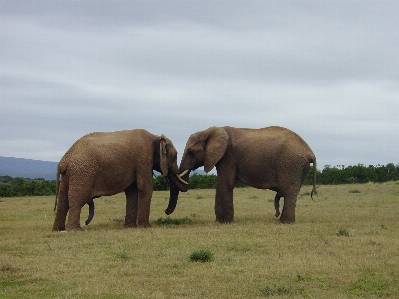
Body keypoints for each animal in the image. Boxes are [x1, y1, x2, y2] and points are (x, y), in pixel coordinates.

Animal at [52, 129, 188, 232]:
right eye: (175, 156)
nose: (166, 211)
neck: (155, 137)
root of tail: (63, 161)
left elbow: (132, 192)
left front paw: (130, 227)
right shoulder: (143, 159)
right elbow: (145, 188)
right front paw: (145, 227)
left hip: (69, 175)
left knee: (63, 201)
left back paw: (58, 230)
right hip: (83, 172)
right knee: (78, 199)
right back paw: (76, 230)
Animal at [166, 125, 318, 224]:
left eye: (191, 151)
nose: (166, 212)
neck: (210, 131)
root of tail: (310, 152)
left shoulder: (228, 156)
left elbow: (225, 183)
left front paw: (223, 222)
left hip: (291, 164)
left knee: (289, 193)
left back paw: (284, 222)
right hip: (297, 167)